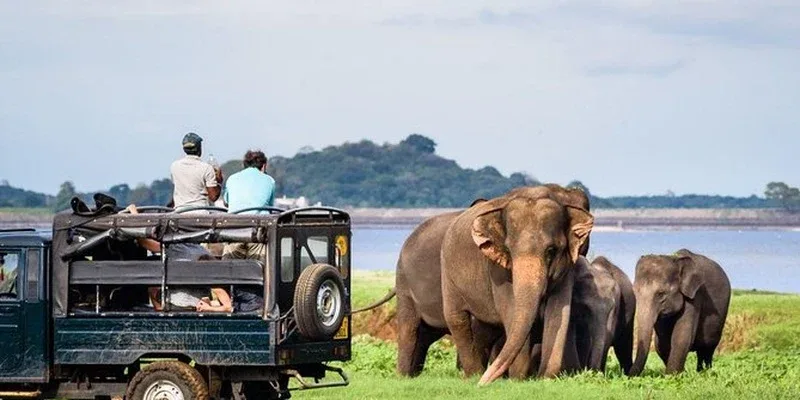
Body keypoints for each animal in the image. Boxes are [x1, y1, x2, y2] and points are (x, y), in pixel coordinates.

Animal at [440, 186, 594, 385]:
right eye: (508, 250)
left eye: (551, 250)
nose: (483, 384)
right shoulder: (497, 270)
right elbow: (511, 312)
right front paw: (518, 380)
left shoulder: (567, 266)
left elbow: (559, 311)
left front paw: (545, 378)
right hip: (448, 273)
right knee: (457, 318)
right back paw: (473, 375)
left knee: (484, 328)